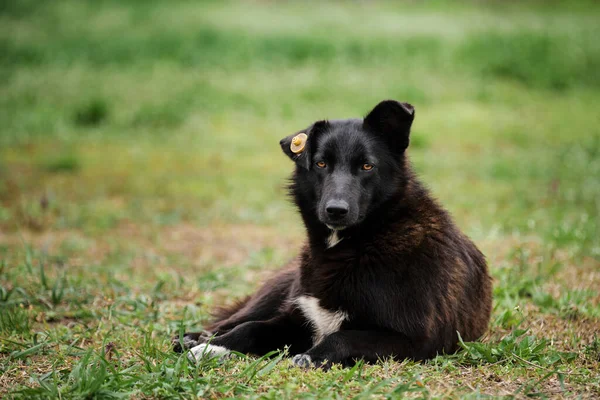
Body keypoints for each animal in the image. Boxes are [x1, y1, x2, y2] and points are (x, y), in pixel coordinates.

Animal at [173, 100, 492, 368]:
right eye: (321, 163)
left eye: (367, 165)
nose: (335, 210)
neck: (355, 245)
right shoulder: (297, 317)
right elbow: (249, 329)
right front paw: (212, 348)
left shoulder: (416, 340)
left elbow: (342, 336)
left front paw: (312, 357)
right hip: (276, 292)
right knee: (236, 319)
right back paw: (196, 337)